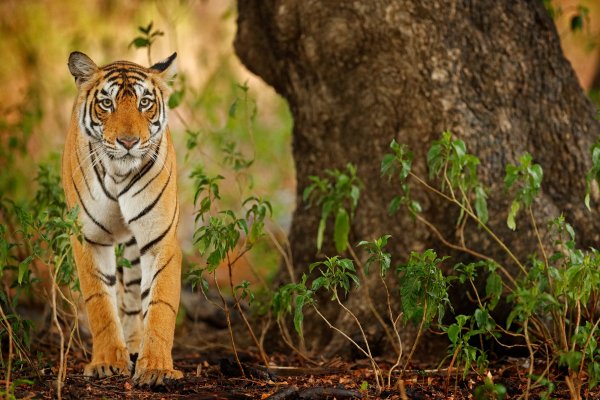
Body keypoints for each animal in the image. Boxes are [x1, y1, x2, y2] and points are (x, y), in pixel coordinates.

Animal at [61, 51, 183, 386]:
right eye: (107, 103)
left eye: (144, 102)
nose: (128, 142)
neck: (118, 173)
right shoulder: (89, 238)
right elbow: (100, 303)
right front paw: (106, 362)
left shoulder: (160, 239)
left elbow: (160, 304)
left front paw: (156, 367)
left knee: (133, 296)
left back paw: (135, 344)